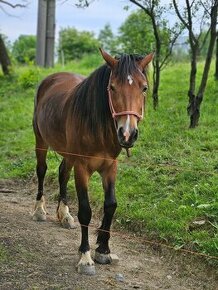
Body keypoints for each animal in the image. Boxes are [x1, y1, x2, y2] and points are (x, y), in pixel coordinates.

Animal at [32, 48, 153, 276]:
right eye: (112, 87)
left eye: (144, 88)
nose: (127, 134)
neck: (99, 127)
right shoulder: (82, 167)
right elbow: (86, 211)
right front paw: (85, 257)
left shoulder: (110, 167)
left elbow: (111, 205)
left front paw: (103, 250)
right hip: (41, 141)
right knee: (42, 171)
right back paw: (39, 211)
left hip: (68, 153)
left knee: (62, 172)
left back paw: (65, 215)